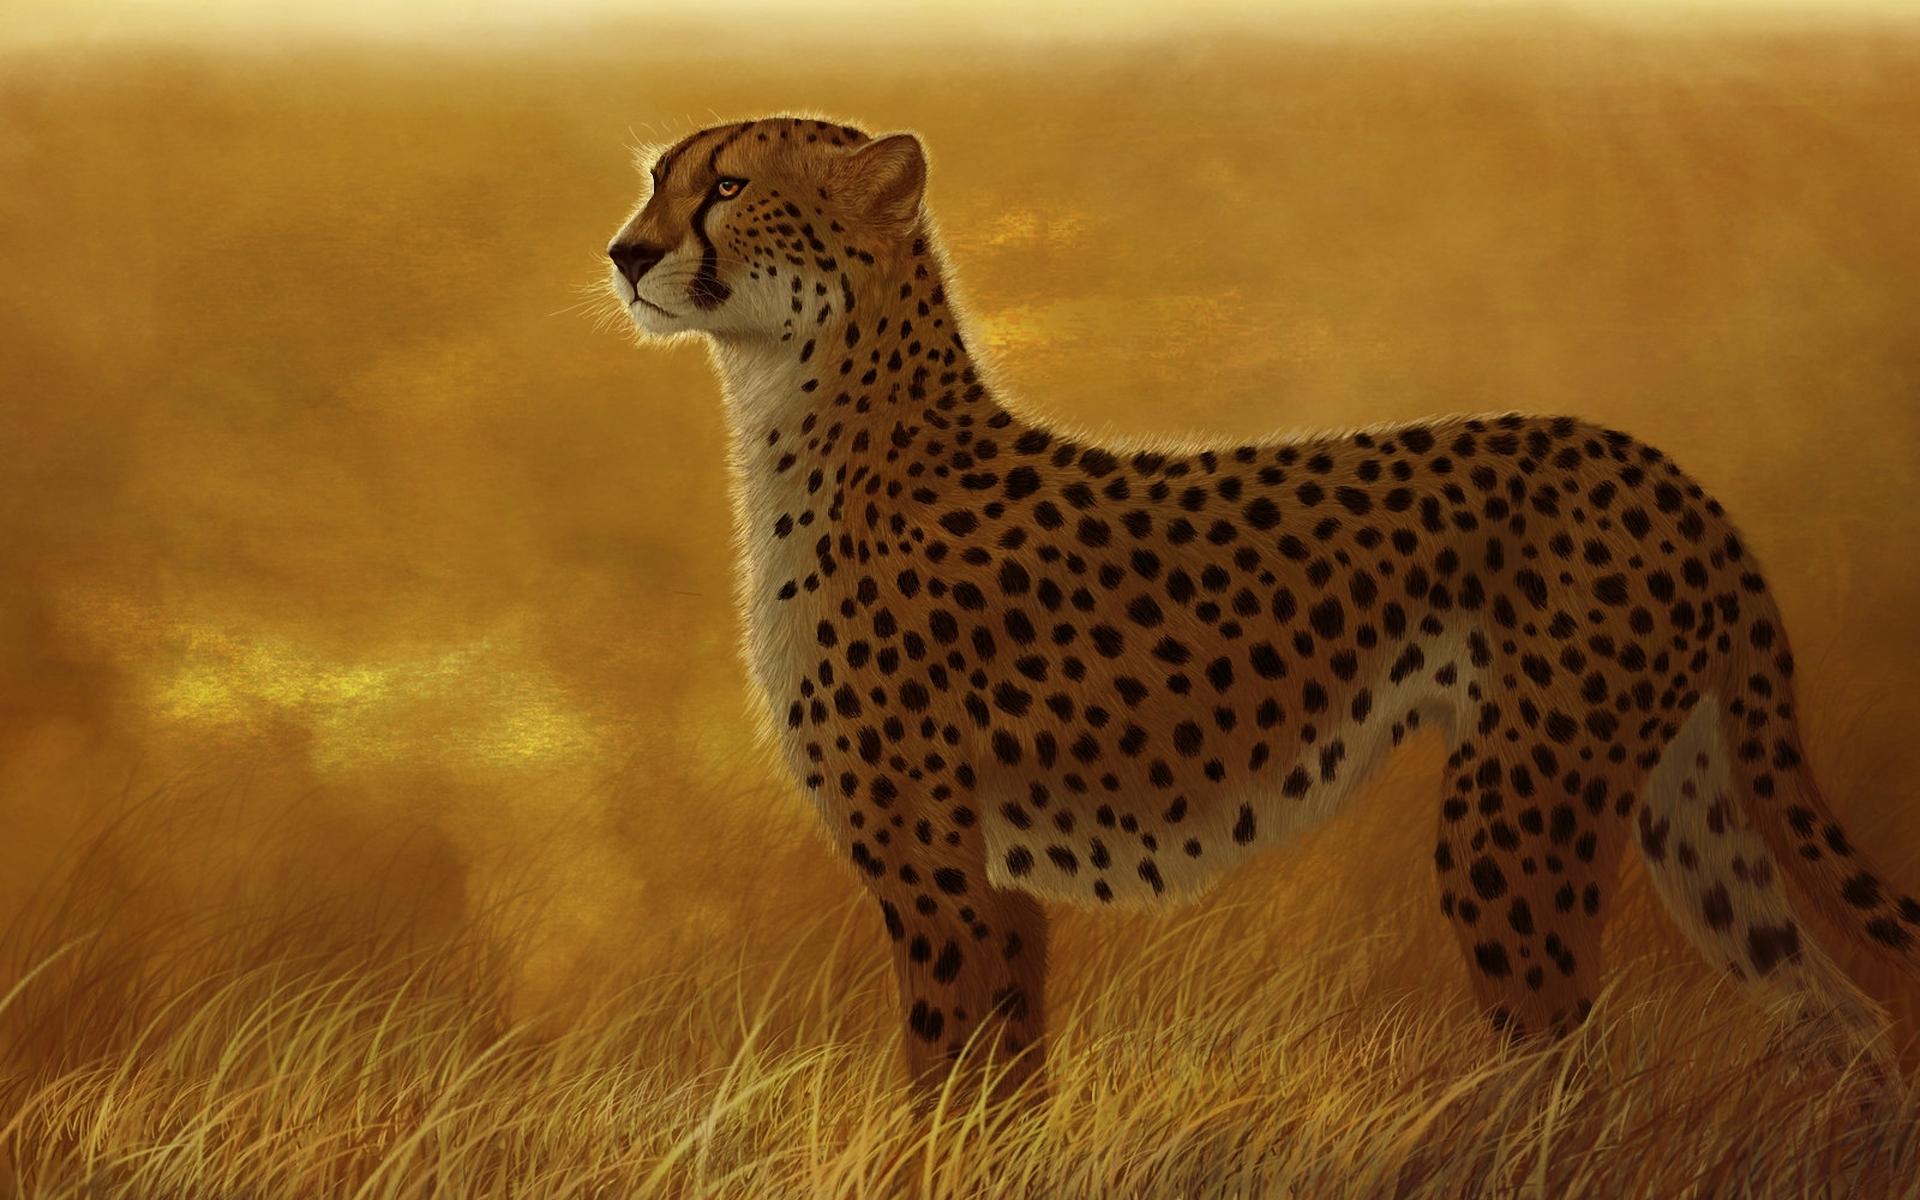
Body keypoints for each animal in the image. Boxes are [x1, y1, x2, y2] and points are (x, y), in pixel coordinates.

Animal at [605, 114, 1920, 1100]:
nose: (623, 253)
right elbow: (1003, 1090)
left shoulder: (934, 878)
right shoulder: (997, 887)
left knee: (1569, 1062)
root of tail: (1662, 470)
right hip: (1684, 804)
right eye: (658, 182)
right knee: (1846, 1019)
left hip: (1513, 819)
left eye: (728, 186)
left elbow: (941, 1092)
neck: (807, 407)